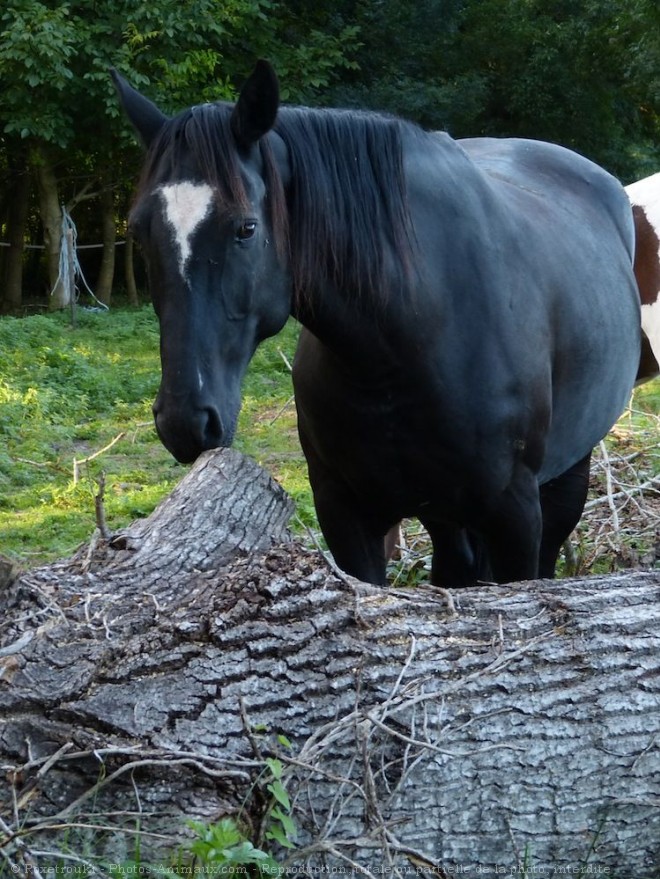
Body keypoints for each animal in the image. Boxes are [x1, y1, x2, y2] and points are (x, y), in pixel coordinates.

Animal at [112, 62, 640, 584]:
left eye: (246, 227)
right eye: (139, 230)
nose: (184, 420)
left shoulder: (516, 517)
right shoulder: (346, 516)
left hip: (565, 477)